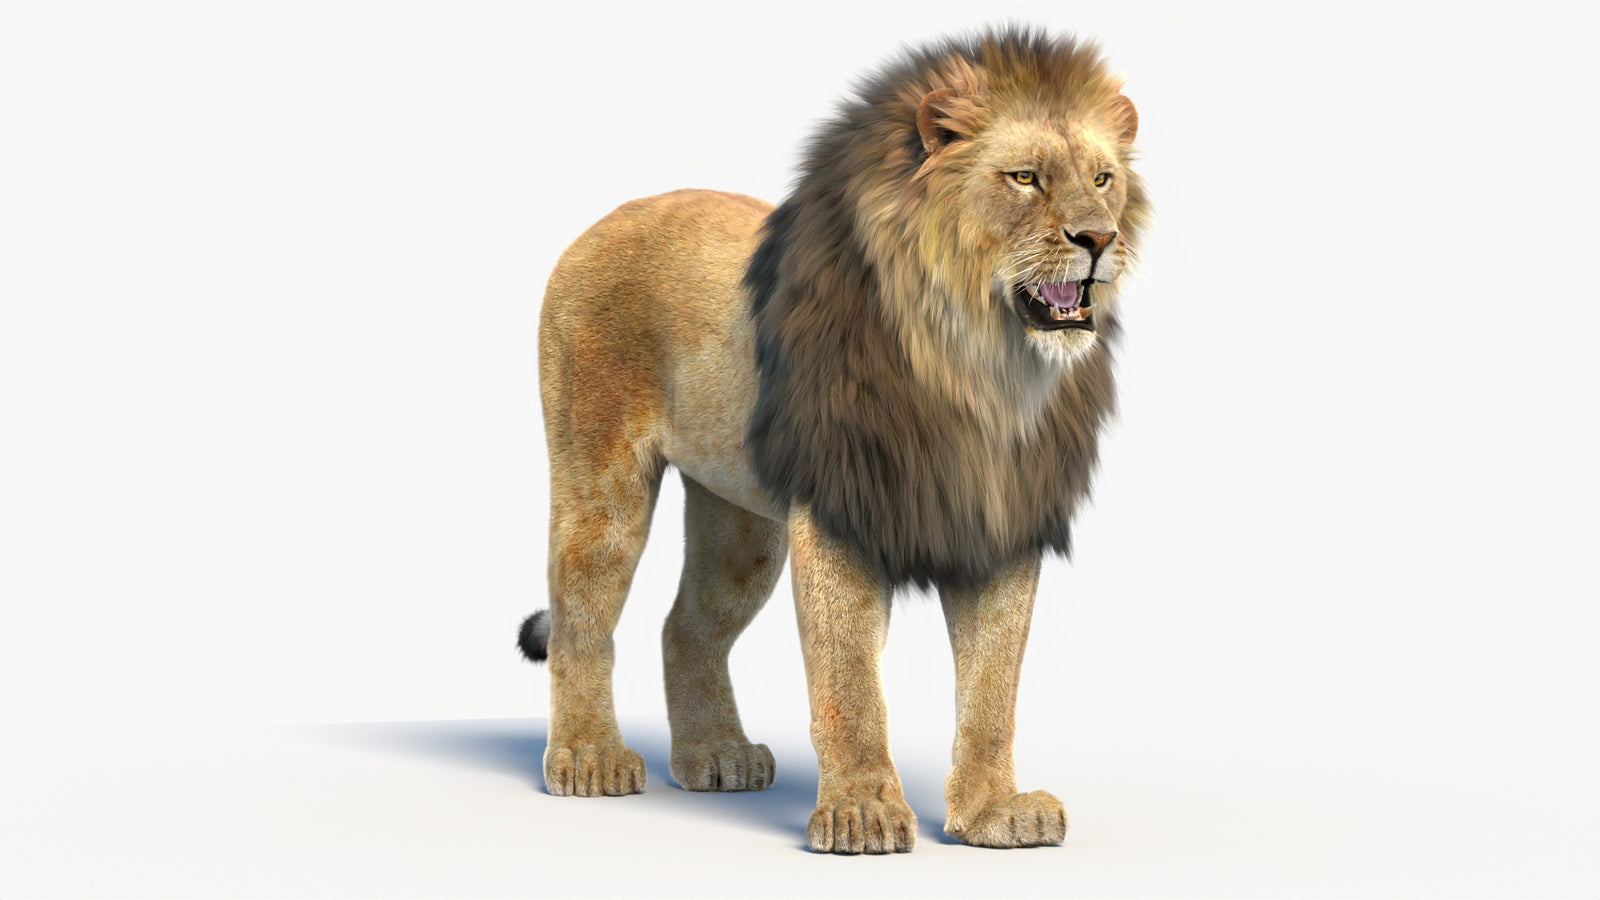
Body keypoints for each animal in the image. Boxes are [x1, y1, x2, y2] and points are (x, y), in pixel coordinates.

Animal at [518, 28, 1147, 854]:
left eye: (1104, 179)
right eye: (1025, 178)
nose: (1099, 237)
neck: (980, 372)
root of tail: (604, 222)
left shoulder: (1002, 522)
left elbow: (991, 686)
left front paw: (993, 811)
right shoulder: (843, 510)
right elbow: (849, 679)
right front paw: (861, 813)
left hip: (741, 526)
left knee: (684, 627)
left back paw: (716, 755)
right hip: (602, 483)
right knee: (581, 616)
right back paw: (590, 758)